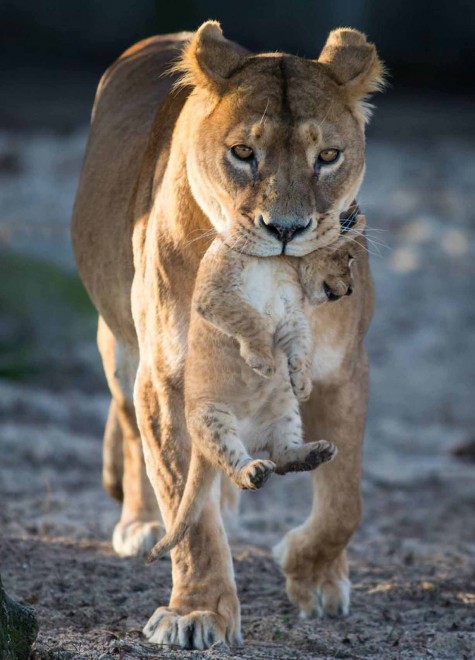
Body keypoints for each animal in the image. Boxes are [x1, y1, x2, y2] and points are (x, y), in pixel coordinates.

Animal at [72, 21, 384, 649]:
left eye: (328, 157)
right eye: (243, 153)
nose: (285, 229)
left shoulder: (343, 370)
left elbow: (345, 502)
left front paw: (312, 574)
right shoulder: (166, 377)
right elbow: (188, 514)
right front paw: (197, 612)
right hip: (120, 348)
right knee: (130, 430)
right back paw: (143, 522)